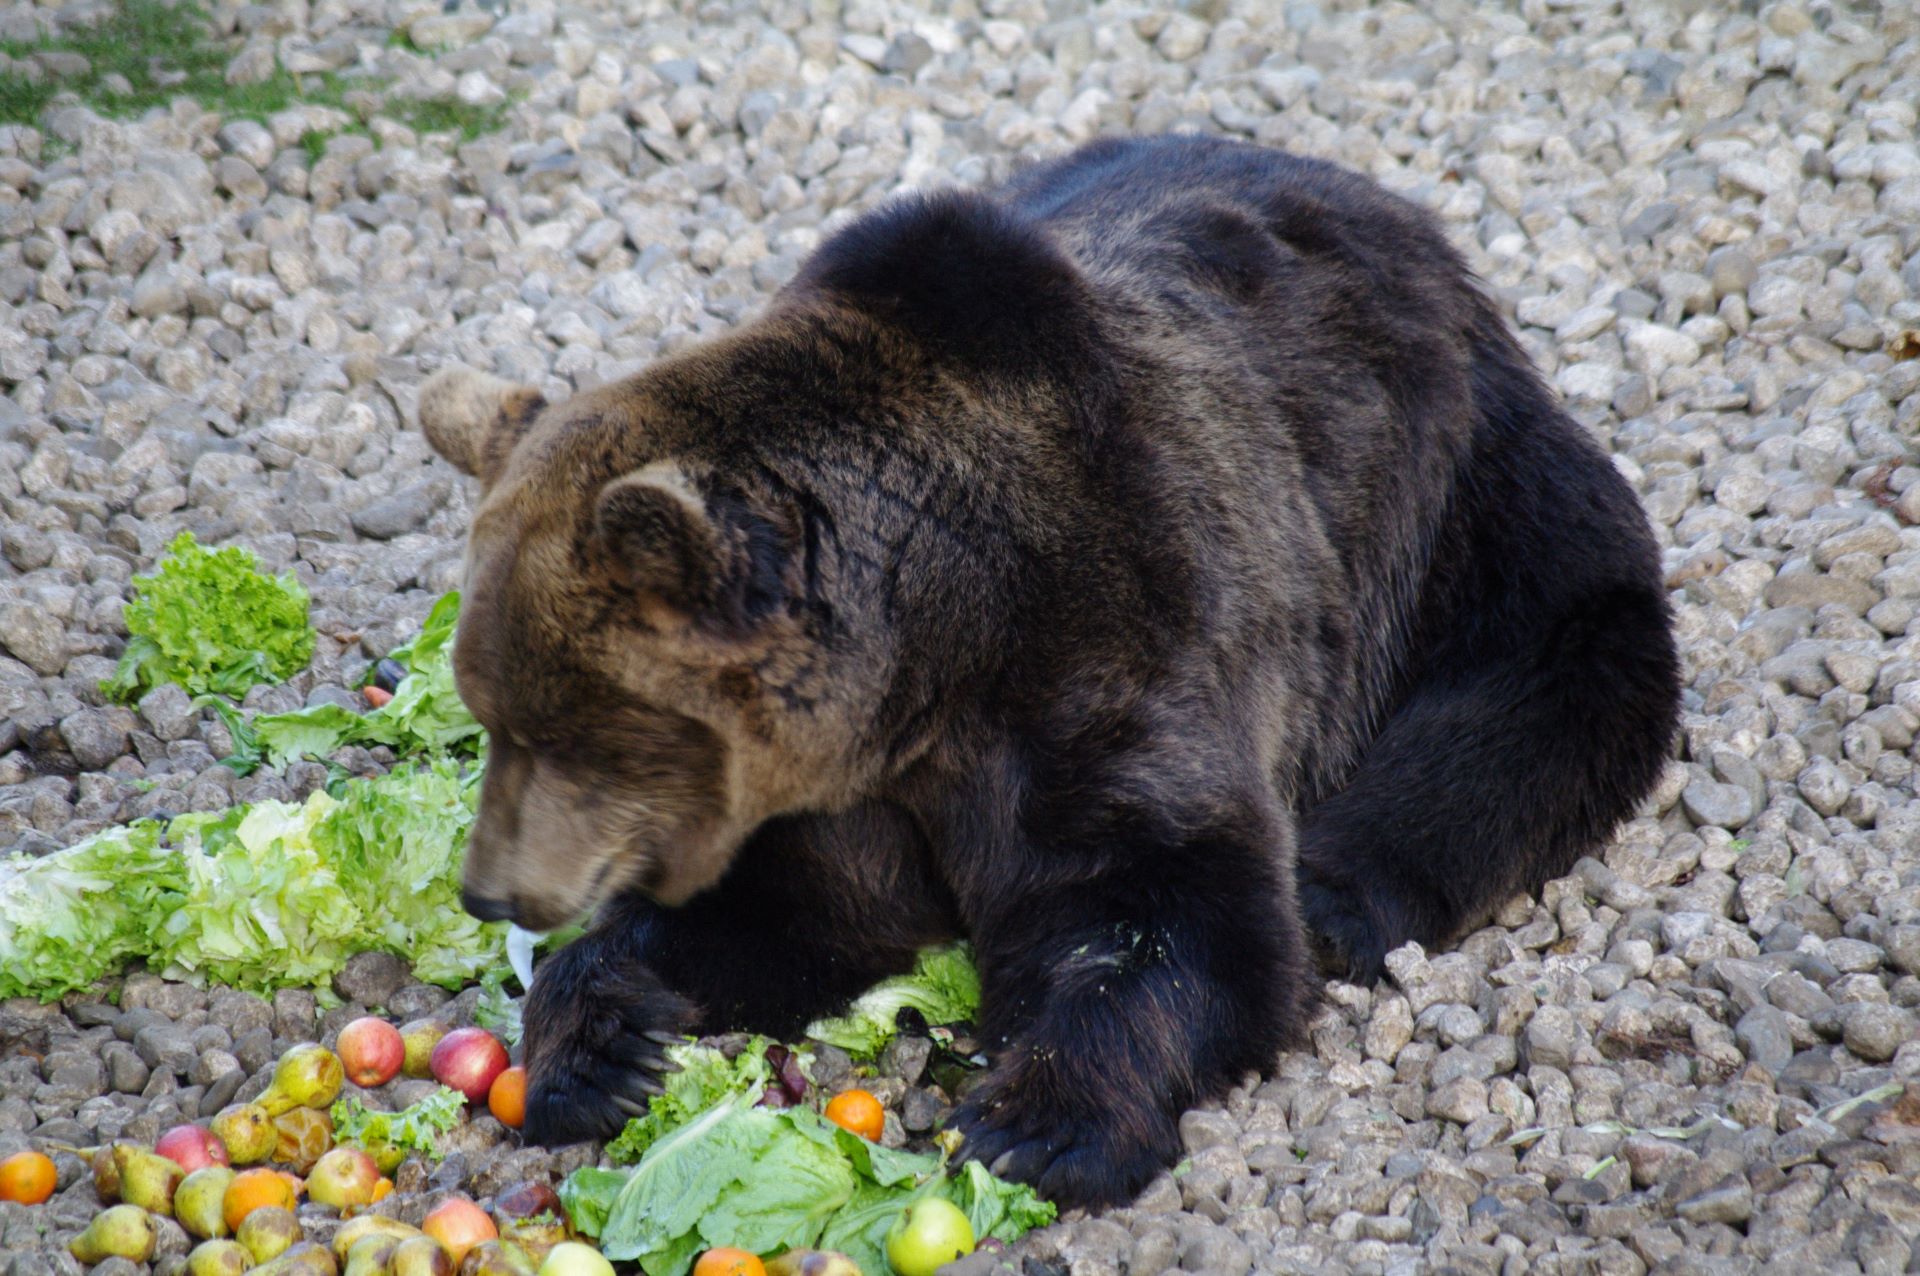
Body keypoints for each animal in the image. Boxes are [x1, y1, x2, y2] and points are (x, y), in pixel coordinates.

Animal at [424, 134, 1681, 1212]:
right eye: (492, 717)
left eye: (569, 731)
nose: (489, 892)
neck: (936, 651)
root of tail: (1401, 215)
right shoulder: (842, 792)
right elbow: (795, 916)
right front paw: (602, 1042)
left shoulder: (1113, 644)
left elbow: (1170, 902)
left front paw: (1039, 1121)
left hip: (1452, 500)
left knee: (1554, 669)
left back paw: (1339, 888)